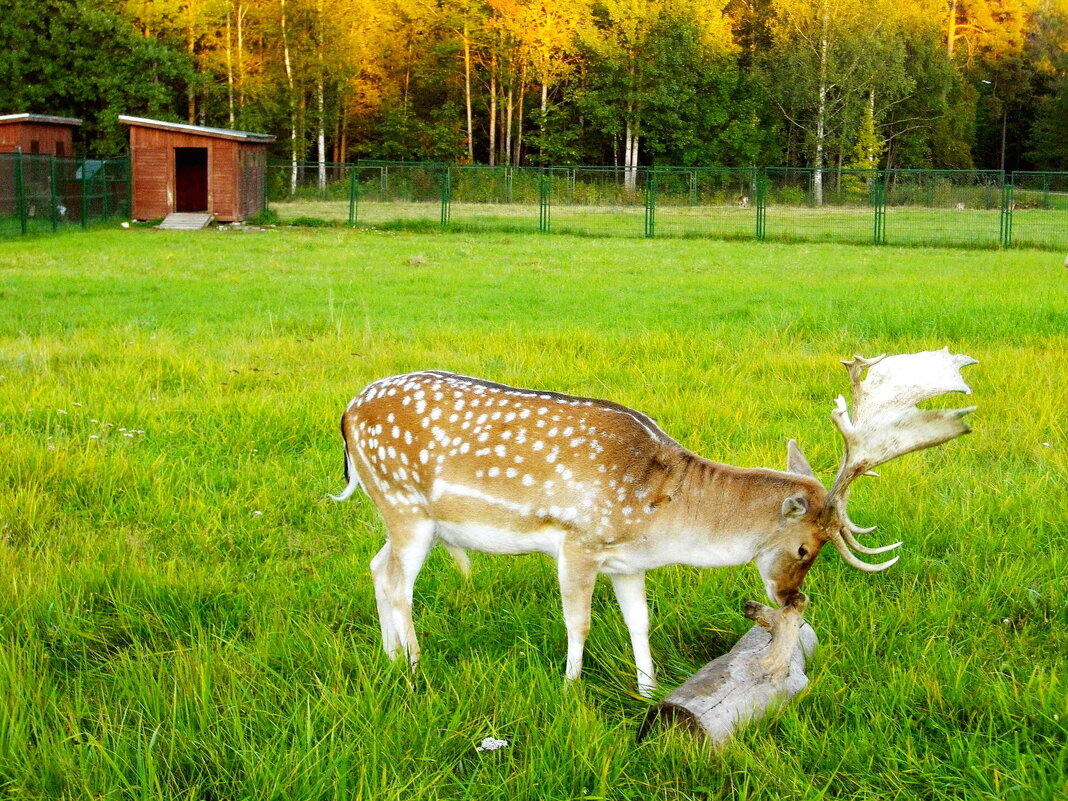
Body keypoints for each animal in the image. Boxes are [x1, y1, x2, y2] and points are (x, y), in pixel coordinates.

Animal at [331, 350, 978, 696]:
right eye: (805, 548)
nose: (793, 598)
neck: (658, 514)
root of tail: (344, 415)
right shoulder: (579, 540)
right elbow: (580, 622)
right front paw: (570, 688)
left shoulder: (628, 561)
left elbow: (639, 623)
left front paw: (649, 690)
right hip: (405, 504)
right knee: (398, 582)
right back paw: (415, 667)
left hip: (393, 511)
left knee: (376, 567)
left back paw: (390, 660)